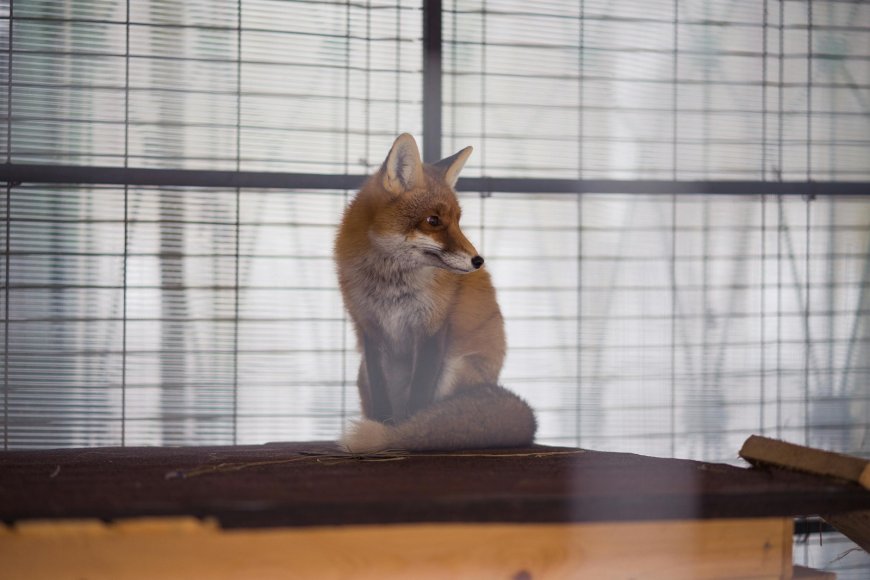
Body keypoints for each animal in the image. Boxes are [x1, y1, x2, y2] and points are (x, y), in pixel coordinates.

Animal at [336, 133, 536, 454]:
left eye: (458, 221)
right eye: (433, 221)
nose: (478, 261)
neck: (390, 284)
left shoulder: (432, 327)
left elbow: (419, 398)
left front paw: (406, 434)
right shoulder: (369, 329)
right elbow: (381, 397)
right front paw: (387, 427)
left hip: (455, 367)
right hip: (362, 373)